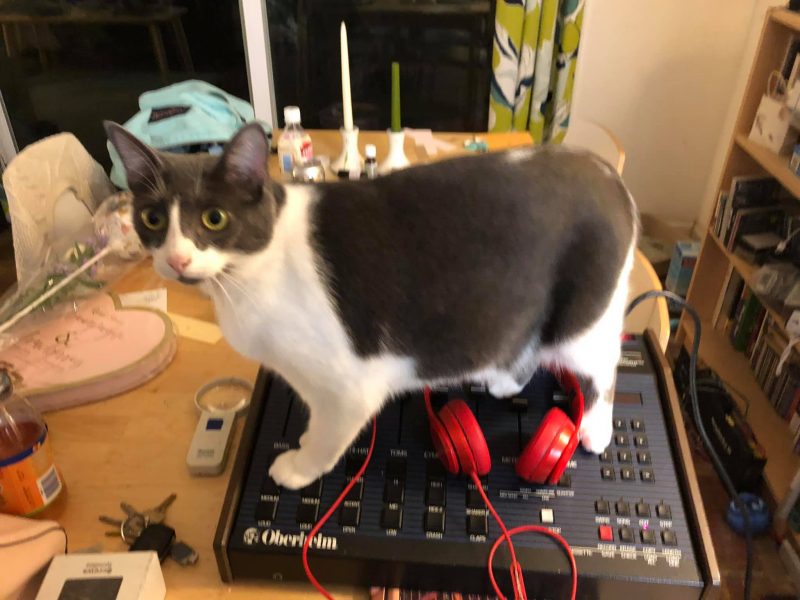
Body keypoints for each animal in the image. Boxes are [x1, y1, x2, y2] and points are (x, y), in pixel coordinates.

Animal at [104, 120, 636, 488]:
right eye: (152, 218)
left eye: (213, 218)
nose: (176, 259)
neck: (247, 277)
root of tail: (609, 174)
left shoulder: (348, 386)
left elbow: (328, 433)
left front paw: (299, 465)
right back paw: (503, 380)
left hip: (586, 317)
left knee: (602, 368)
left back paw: (596, 429)